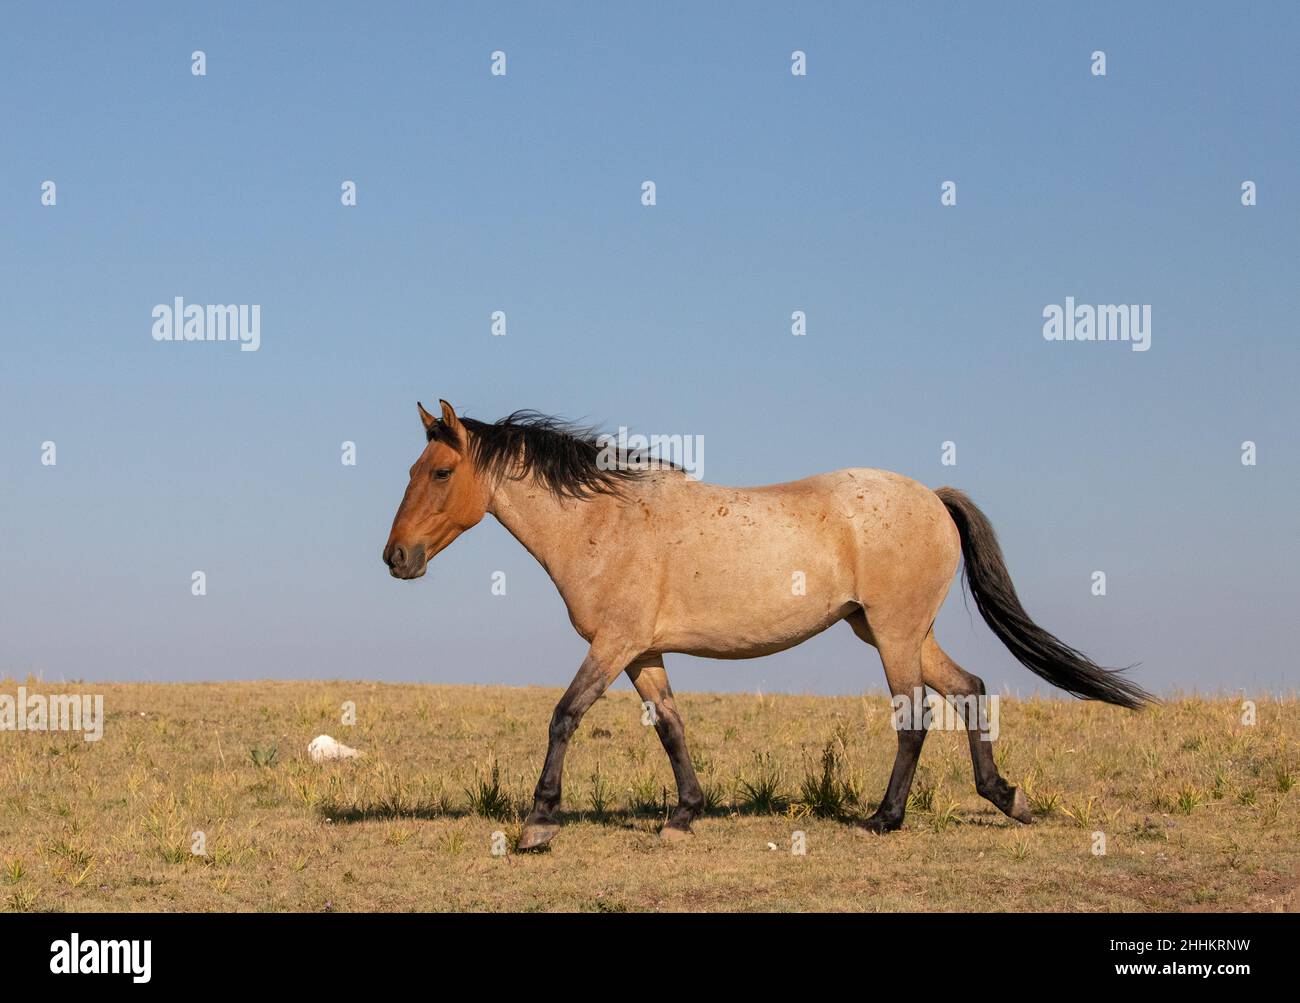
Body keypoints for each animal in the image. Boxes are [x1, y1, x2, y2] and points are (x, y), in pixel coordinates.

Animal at [382, 400, 1149, 847]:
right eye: (415, 467)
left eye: (442, 470)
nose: (396, 558)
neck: (604, 521)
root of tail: (932, 497)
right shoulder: (641, 652)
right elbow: (671, 727)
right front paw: (684, 813)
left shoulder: (613, 644)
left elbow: (564, 715)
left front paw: (538, 824)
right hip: (895, 631)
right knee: (969, 688)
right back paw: (1007, 797)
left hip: (895, 635)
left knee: (915, 715)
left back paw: (885, 818)